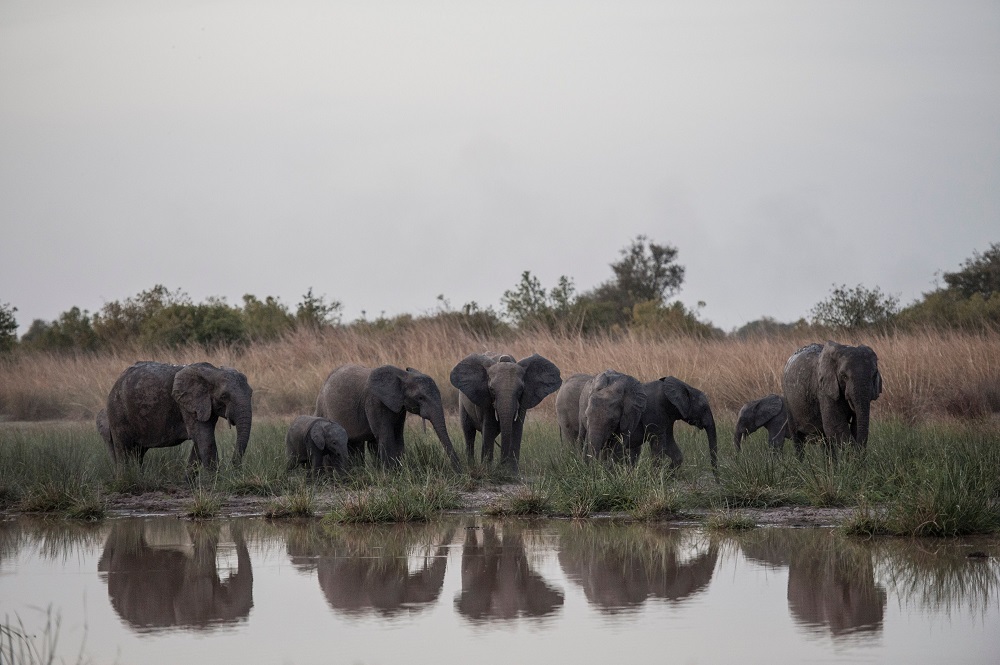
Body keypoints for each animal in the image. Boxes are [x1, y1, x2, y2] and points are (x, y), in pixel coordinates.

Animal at [102, 361, 253, 469]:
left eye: (251, 393)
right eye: (224, 396)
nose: (234, 466)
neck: (214, 371)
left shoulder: (204, 405)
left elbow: (200, 440)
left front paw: (189, 483)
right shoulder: (187, 404)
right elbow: (205, 438)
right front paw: (215, 483)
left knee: (138, 452)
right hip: (117, 410)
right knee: (123, 449)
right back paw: (125, 480)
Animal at [314, 364, 461, 471]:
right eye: (420, 397)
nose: (459, 471)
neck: (403, 375)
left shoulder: (399, 406)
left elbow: (397, 435)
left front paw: (399, 471)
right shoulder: (374, 401)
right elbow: (385, 434)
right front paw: (390, 474)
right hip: (322, 408)